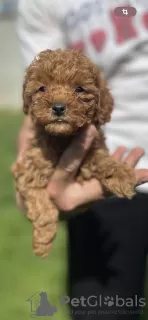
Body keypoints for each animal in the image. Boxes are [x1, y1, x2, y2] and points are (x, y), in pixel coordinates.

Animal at [11, 48, 136, 258]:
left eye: (79, 89)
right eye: (42, 88)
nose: (58, 107)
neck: (62, 138)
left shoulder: (93, 146)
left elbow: (102, 159)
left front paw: (122, 174)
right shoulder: (29, 168)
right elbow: (40, 203)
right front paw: (44, 241)